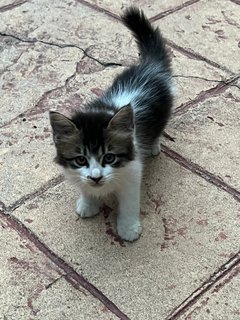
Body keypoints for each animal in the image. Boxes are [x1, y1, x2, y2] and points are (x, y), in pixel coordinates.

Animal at [49, 6, 172, 241]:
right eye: (80, 159)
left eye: (109, 157)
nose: (96, 177)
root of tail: (149, 66)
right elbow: (85, 187)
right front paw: (88, 204)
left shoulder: (133, 172)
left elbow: (129, 203)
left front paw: (128, 228)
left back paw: (153, 146)